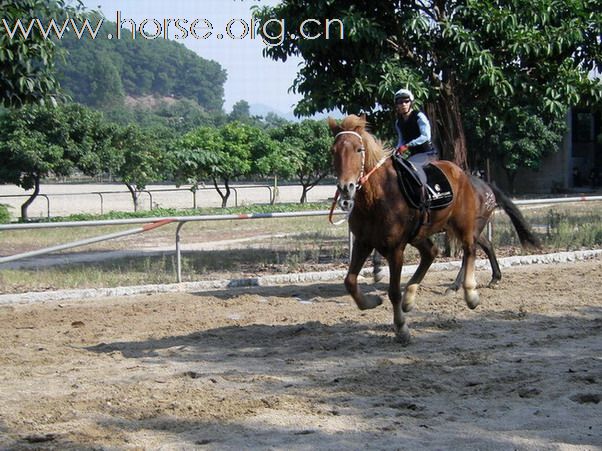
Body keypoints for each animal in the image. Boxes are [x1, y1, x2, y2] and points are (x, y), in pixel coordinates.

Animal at [328, 115, 540, 344]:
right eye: (333, 151)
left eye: (359, 149)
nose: (346, 188)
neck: (378, 195)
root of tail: (473, 181)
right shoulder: (363, 242)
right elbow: (350, 281)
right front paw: (372, 301)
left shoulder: (396, 249)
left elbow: (393, 292)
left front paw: (401, 328)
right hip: (425, 233)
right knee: (436, 252)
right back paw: (416, 295)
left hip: (464, 226)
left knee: (469, 250)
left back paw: (468, 293)